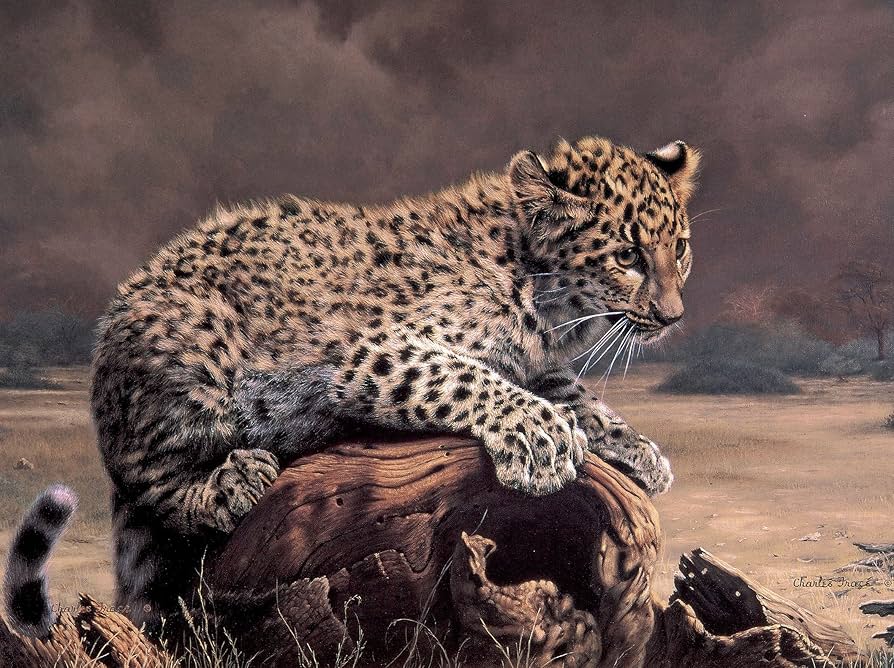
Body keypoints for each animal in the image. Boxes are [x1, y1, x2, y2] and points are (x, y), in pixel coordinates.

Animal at [3, 134, 698, 636]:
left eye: (682, 249)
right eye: (629, 256)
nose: (673, 316)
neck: (544, 303)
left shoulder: (538, 363)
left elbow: (577, 396)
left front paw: (636, 448)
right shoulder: (371, 354)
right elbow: (468, 376)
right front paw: (541, 436)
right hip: (189, 352)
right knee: (149, 476)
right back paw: (232, 481)